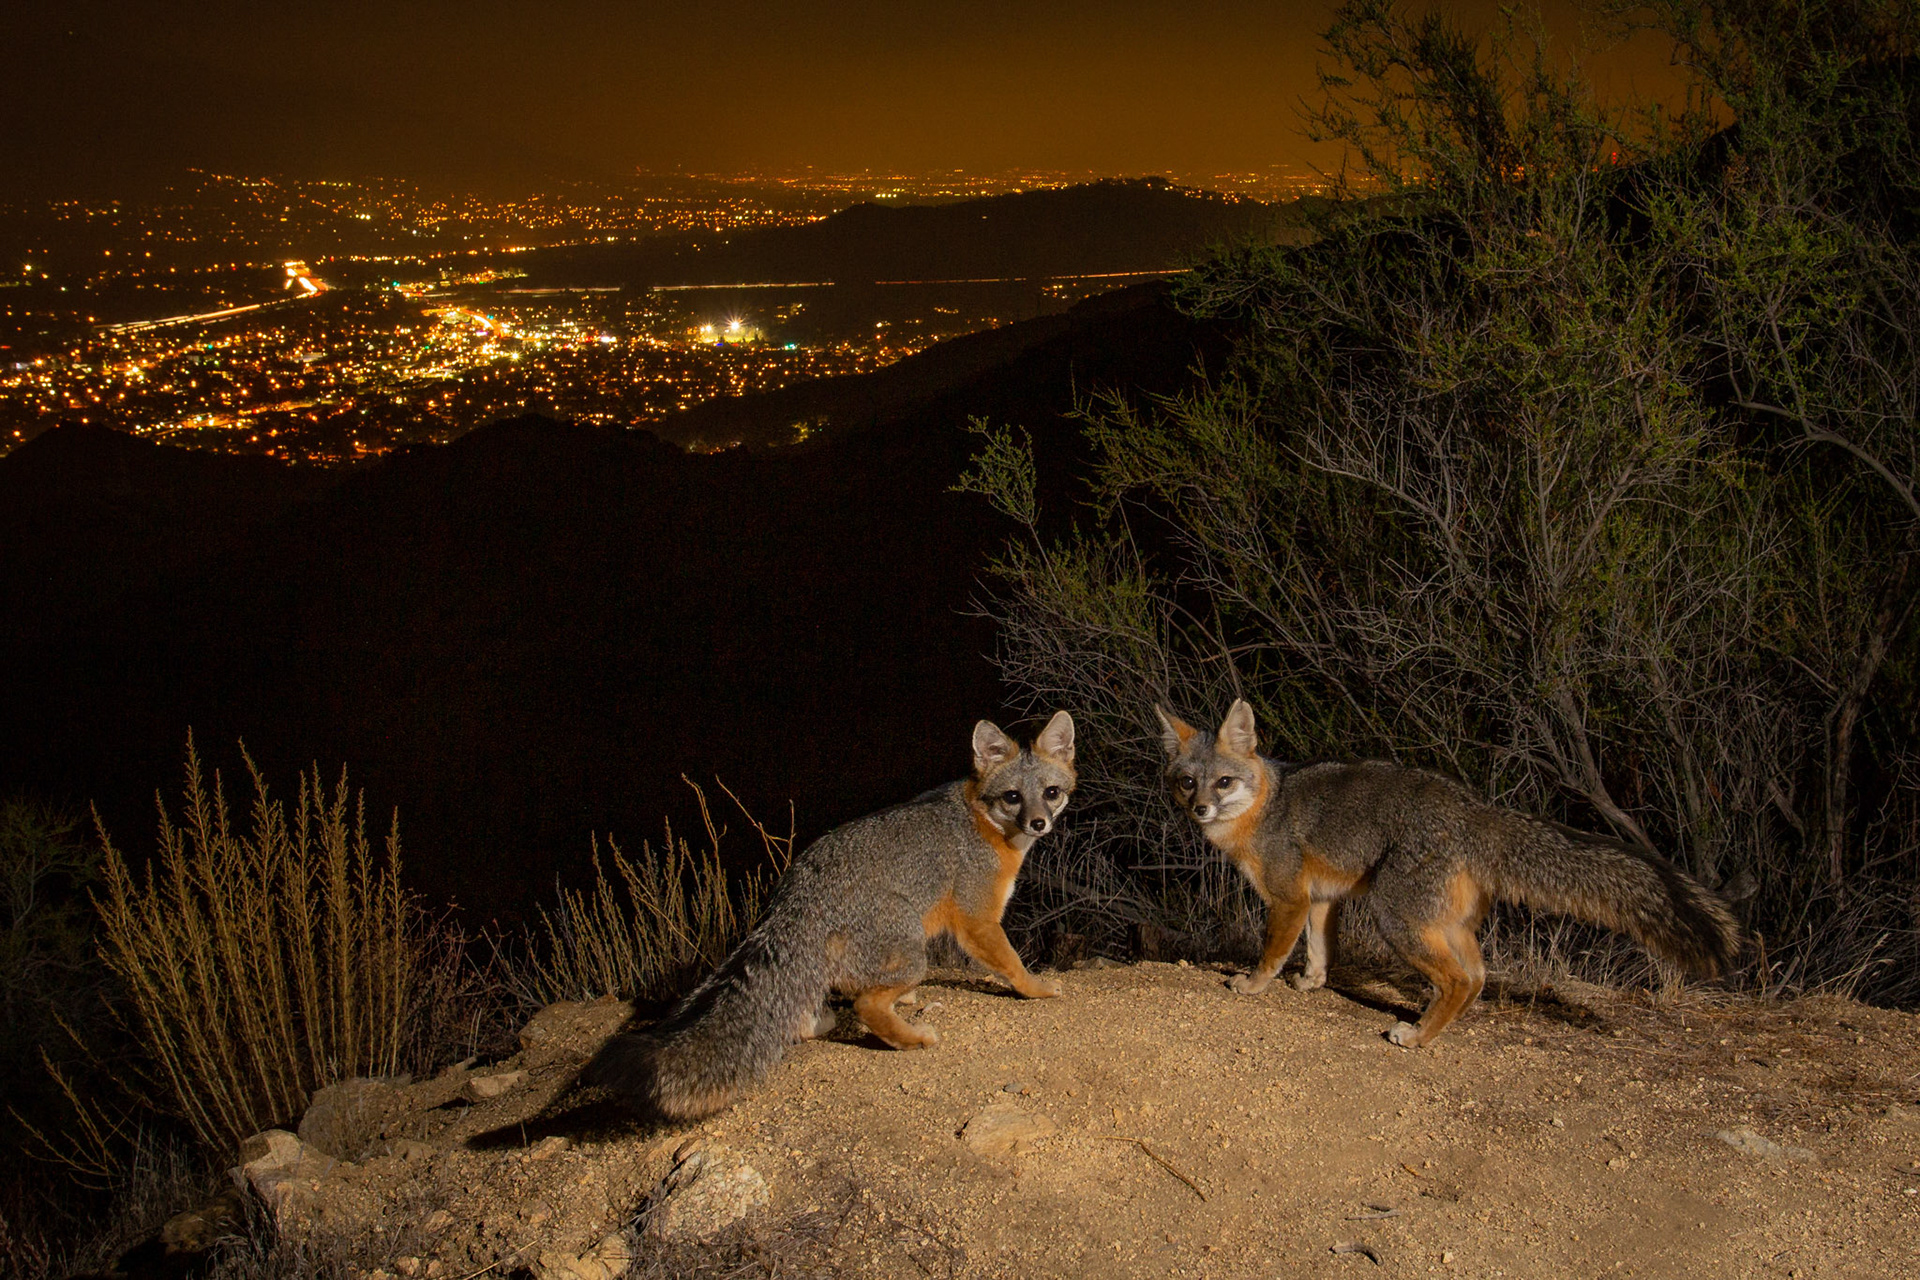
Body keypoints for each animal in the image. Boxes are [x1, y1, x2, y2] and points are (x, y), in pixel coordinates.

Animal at [584, 711, 1076, 1120]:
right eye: (1013, 797)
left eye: (1051, 794)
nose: (1039, 823)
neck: (985, 821)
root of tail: (796, 896)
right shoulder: (978, 922)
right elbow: (1012, 964)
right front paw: (1037, 989)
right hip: (913, 948)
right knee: (865, 1005)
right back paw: (911, 1037)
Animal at [1154, 699, 1741, 1048]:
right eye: (1188, 783)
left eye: (1224, 782)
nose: (1200, 810)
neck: (1264, 806)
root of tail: (1473, 808)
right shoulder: (1322, 899)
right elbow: (1320, 952)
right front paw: (1310, 983)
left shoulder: (1289, 900)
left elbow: (1272, 952)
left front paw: (1254, 985)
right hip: (1443, 923)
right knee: (1475, 977)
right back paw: (1433, 1028)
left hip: (1396, 919)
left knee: (1458, 978)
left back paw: (1415, 1038)